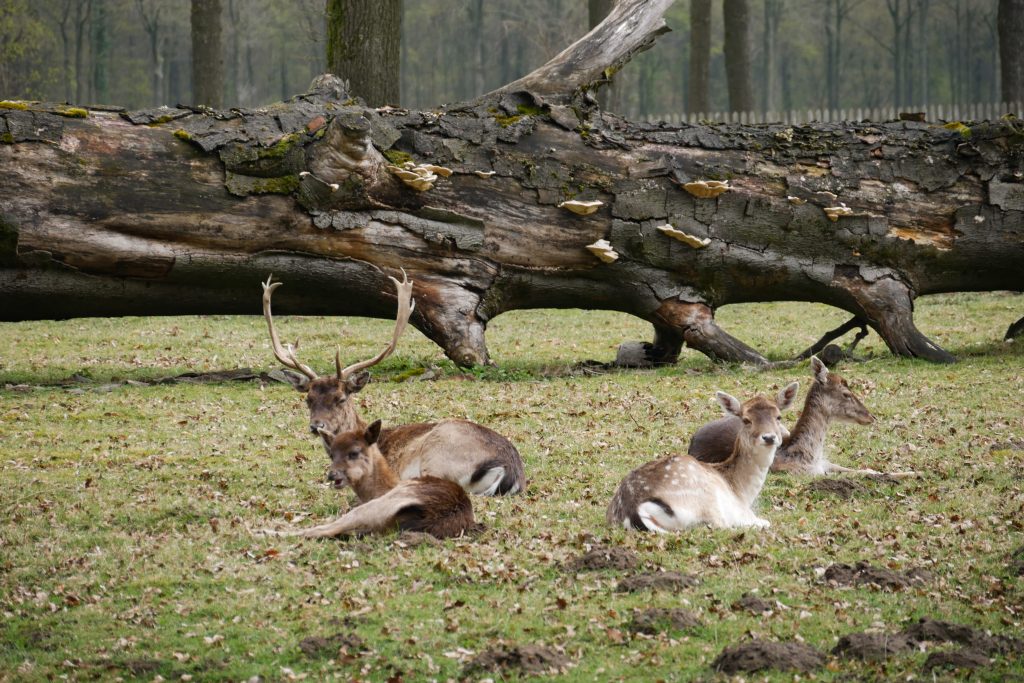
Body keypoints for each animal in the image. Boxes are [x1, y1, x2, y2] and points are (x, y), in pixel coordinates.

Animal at [260, 419, 475, 540]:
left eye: (354, 452)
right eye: (331, 454)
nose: (332, 474)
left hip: (375, 507)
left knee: (321, 530)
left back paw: (264, 532)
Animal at [606, 385, 798, 532]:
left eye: (778, 416)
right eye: (746, 420)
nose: (769, 437)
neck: (741, 492)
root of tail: (633, 510)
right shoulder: (741, 512)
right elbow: (765, 521)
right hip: (706, 502)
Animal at [688, 356, 913, 479]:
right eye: (846, 394)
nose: (871, 416)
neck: (810, 455)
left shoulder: (825, 463)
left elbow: (867, 470)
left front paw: (910, 472)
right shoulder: (802, 472)